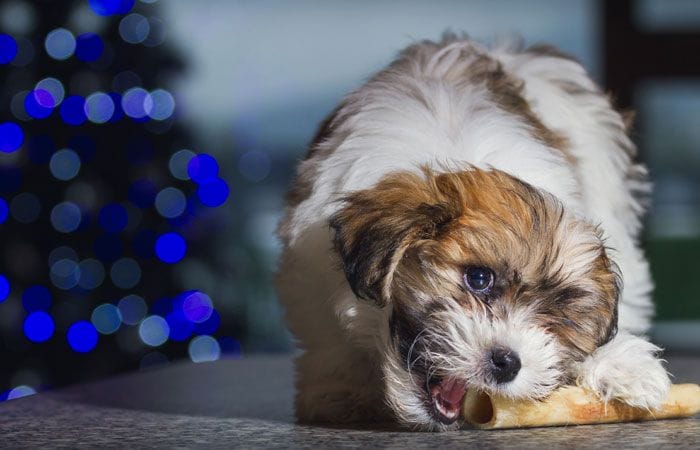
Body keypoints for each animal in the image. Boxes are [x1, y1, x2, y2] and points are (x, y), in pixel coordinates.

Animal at [276, 34, 668, 428]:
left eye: (557, 317)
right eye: (478, 278)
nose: (507, 362)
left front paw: (623, 366)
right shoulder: (308, 268)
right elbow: (326, 338)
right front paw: (341, 390)